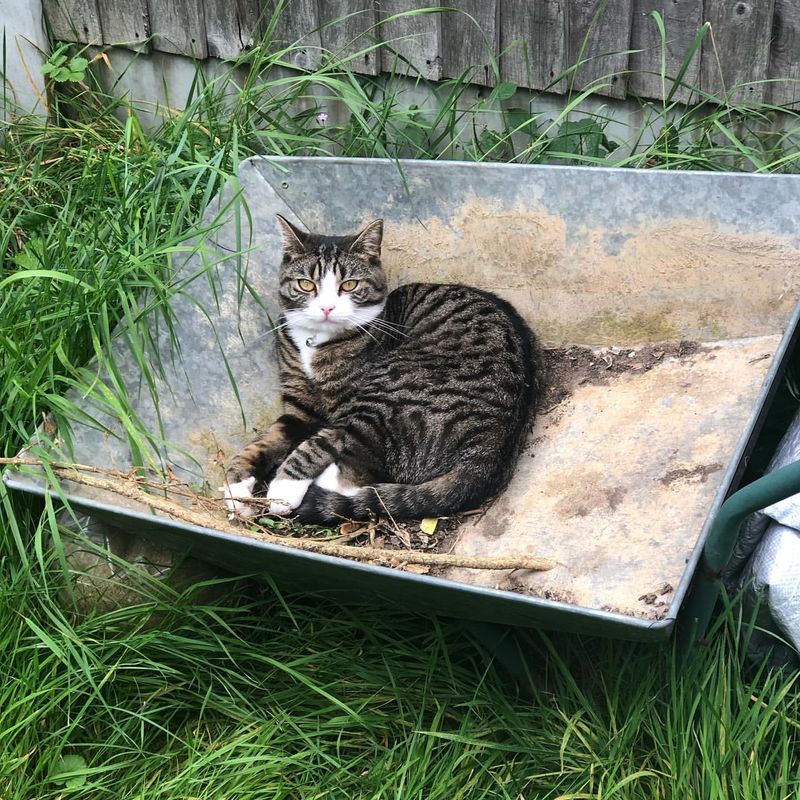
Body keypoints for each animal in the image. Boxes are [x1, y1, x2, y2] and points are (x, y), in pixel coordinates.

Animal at [222, 214, 540, 524]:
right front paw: (236, 485)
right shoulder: (299, 410)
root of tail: (489, 452)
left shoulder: (342, 414)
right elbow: (264, 441)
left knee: (355, 478)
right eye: (306, 285)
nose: (326, 308)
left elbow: (313, 446)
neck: (314, 341)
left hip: (390, 393)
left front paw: (283, 488)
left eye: (349, 285)